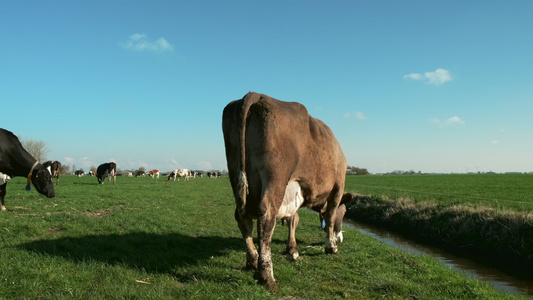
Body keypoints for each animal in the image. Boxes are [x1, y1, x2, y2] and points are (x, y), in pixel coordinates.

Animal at [222, 92, 352, 292]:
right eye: (344, 213)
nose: (341, 239)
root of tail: (256, 94)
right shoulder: (338, 187)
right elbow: (329, 217)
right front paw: (331, 246)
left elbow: (293, 219)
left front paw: (292, 250)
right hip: (276, 177)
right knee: (266, 218)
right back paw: (267, 276)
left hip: (235, 172)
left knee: (242, 218)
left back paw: (252, 260)